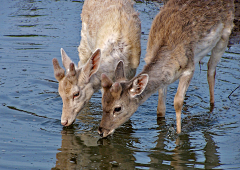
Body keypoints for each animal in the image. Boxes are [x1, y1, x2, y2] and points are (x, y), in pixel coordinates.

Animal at [98, 0, 234, 138]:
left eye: (117, 108)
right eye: (102, 102)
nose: (101, 130)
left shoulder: (189, 68)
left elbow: (177, 102)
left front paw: (178, 133)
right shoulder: (165, 79)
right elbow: (160, 109)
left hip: (225, 32)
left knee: (211, 70)